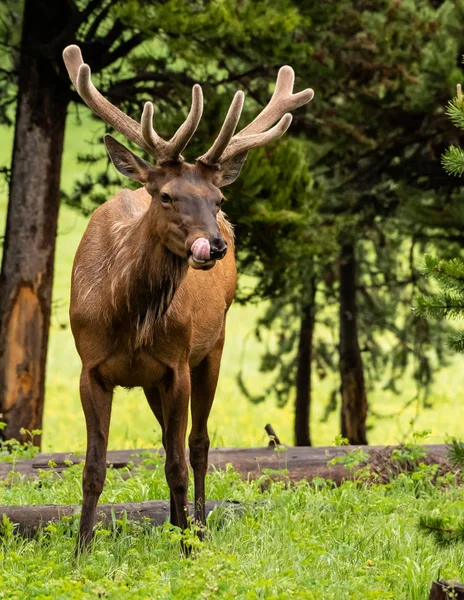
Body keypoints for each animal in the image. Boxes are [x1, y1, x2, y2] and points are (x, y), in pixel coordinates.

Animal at [62, 45, 316, 552]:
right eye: (165, 195)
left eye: (217, 199)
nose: (215, 245)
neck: (127, 319)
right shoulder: (91, 367)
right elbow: (94, 467)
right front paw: (81, 550)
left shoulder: (176, 364)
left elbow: (179, 462)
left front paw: (187, 548)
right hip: (152, 381)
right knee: (168, 440)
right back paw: (177, 522)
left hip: (212, 346)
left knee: (196, 445)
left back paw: (194, 525)